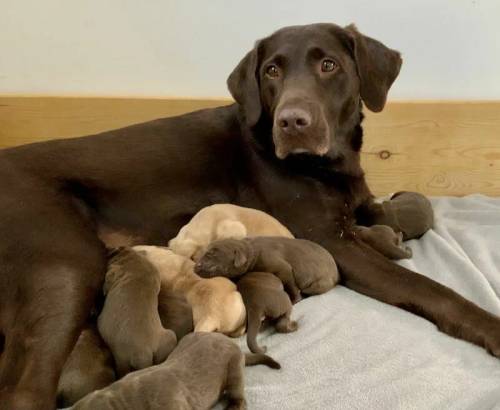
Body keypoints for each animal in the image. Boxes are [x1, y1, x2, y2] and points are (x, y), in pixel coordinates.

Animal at [195, 237, 340, 304]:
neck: (250, 252)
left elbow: (290, 281)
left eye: (211, 253)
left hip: (319, 283)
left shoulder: (281, 266)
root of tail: (337, 275)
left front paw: (295, 299)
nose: (195, 266)